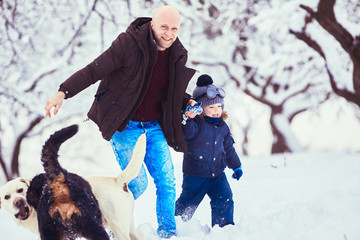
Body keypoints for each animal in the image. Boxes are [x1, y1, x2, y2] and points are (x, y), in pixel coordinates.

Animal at [0, 131, 146, 240]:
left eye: (20, 190)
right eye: (6, 197)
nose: (18, 201)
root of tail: (118, 180)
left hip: (116, 227)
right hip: (127, 226)